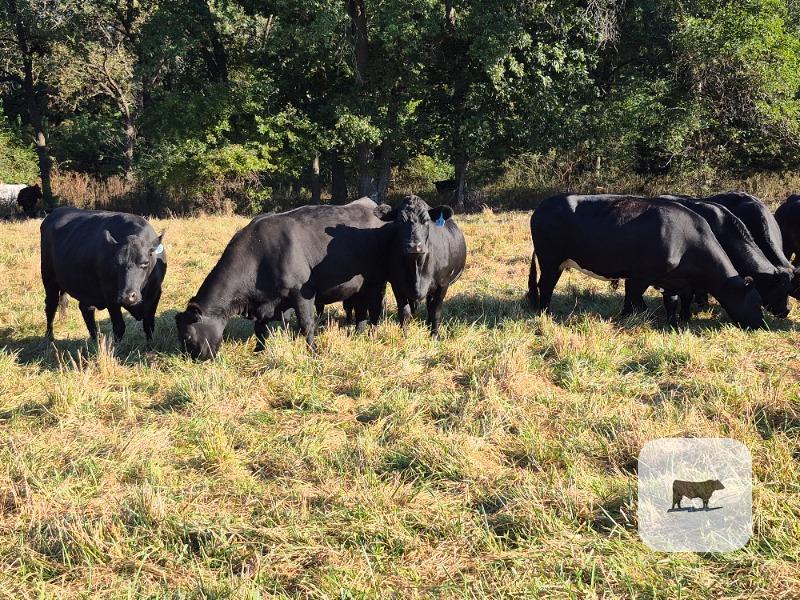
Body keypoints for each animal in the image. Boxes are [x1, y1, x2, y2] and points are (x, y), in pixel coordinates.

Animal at [40, 207, 166, 342]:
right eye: (116, 263)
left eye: (145, 263)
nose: (127, 296)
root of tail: (57, 211)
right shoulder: (111, 297)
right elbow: (119, 326)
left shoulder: (155, 294)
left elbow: (149, 325)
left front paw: (150, 345)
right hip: (49, 279)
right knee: (51, 306)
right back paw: (49, 336)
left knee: (80, 307)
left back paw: (94, 338)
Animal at [175, 197, 390, 360]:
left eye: (186, 337)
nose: (191, 359)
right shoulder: (265, 302)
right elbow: (261, 329)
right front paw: (259, 351)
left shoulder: (302, 293)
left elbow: (307, 325)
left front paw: (313, 352)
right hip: (359, 287)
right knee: (360, 309)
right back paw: (358, 333)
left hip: (377, 282)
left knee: (374, 308)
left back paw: (370, 333)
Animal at [374, 195, 466, 337]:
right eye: (400, 220)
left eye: (426, 220)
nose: (414, 246)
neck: (416, 267)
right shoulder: (397, 284)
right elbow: (404, 312)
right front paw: (405, 336)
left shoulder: (443, 285)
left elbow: (436, 311)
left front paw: (434, 335)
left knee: (430, 306)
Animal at [527, 194, 765, 329]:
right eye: (756, 303)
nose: (762, 325)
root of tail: (542, 206)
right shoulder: (640, 276)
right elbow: (631, 299)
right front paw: (625, 318)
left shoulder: (671, 280)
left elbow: (672, 302)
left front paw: (673, 324)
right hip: (550, 260)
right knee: (545, 286)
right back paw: (544, 312)